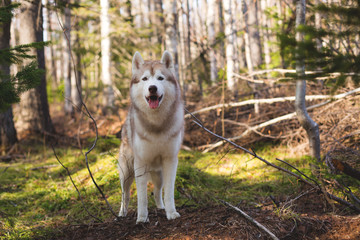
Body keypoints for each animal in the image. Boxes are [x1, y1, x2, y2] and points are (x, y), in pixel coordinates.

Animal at [118, 50, 184, 223]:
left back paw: (161, 207)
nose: (152, 88)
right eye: (145, 79)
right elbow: (141, 197)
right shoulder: (140, 163)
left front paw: (171, 212)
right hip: (126, 173)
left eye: (160, 78)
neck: (157, 124)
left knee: (157, 191)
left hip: (158, 174)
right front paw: (142, 218)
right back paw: (121, 213)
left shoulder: (170, 160)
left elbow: (169, 192)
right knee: (125, 195)